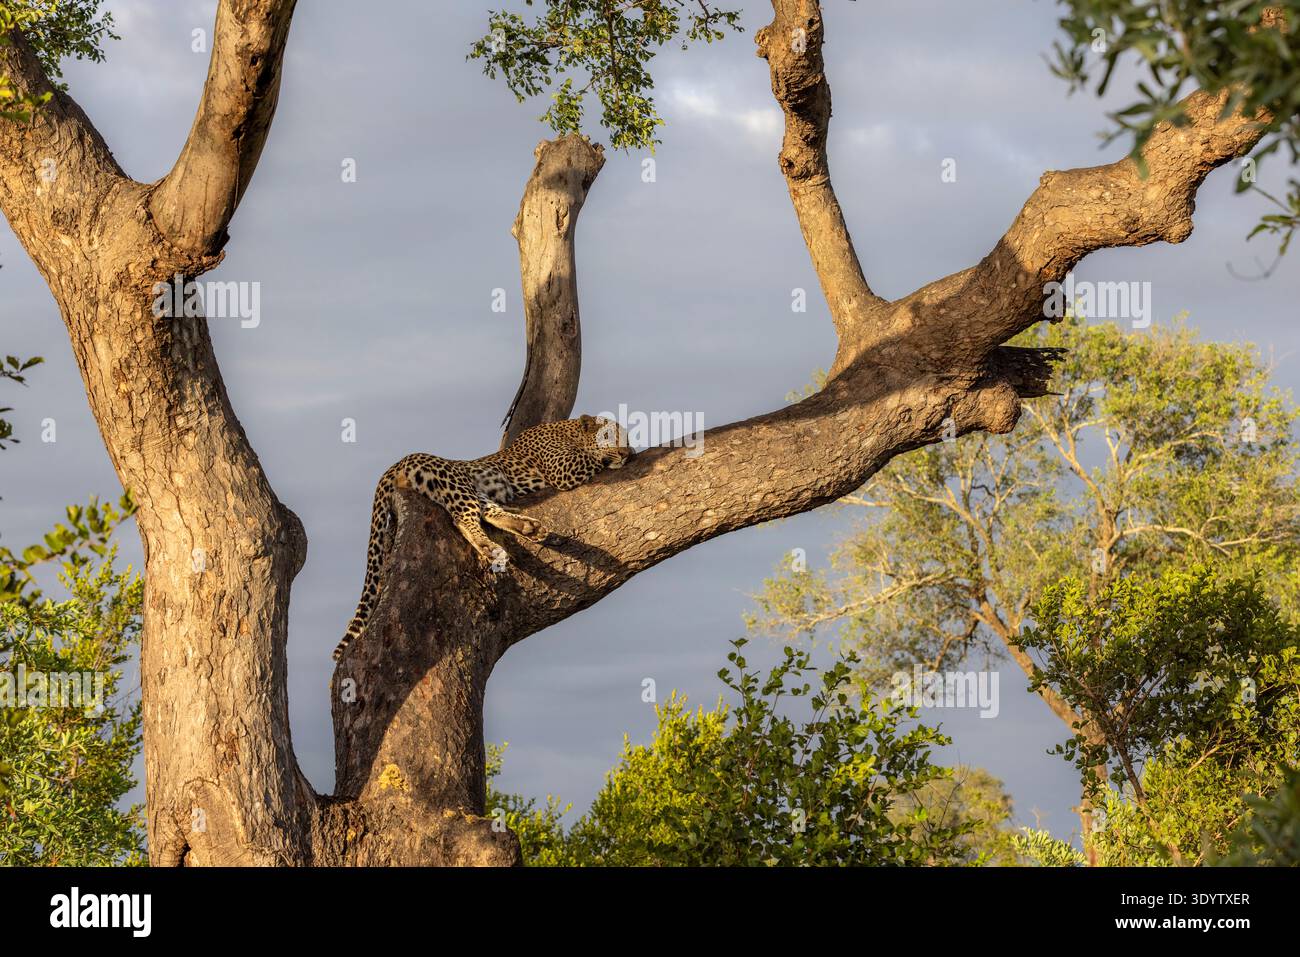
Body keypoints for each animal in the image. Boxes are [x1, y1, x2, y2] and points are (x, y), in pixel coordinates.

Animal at [332, 415, 633, 661]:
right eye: (611, 438)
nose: (627, 452)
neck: (567, 429)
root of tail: (399, 462)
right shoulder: (564, 469)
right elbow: (592, 458)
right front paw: (615, 456)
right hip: (455, 482)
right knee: (463, 518)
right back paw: (492, 547)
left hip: (474, 490)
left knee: (486, 513)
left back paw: (527, 529)